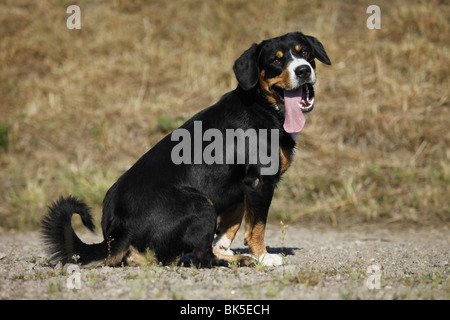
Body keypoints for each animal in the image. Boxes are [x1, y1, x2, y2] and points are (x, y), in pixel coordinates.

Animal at [42, 31, 330, 268]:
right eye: (275, 61)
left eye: (305, 53)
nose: (303, 70)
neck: (263, 107)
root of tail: (117, 232)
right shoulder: (259, 182)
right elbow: (255, 226)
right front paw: (263, 256)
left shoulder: (238, 187)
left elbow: (232, 224)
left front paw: (227, 248)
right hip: (201, 204)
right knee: (203, 259)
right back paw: (241, 260)